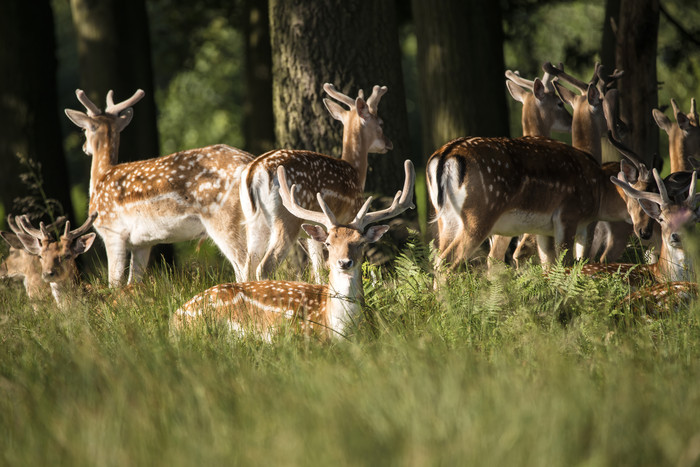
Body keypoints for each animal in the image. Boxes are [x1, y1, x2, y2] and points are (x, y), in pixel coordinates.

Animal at [64, 88, 256, 286]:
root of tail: (249, 162)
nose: (84, 147)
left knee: (245, 265)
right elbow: (133, 283)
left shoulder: (112, 232)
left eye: (83, 129)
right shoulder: (142, 243)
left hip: (224, 220)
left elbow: (115, 283)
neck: (101, 177)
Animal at [241, 82, 394, 284]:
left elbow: (318, 269)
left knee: (246, 266)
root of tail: (255, 171)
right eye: (381, 123)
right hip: (286, 218)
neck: (354, 171)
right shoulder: (349, 215)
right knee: (264, 266)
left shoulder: (313, 234)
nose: (389, 143)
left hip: (253, 222)